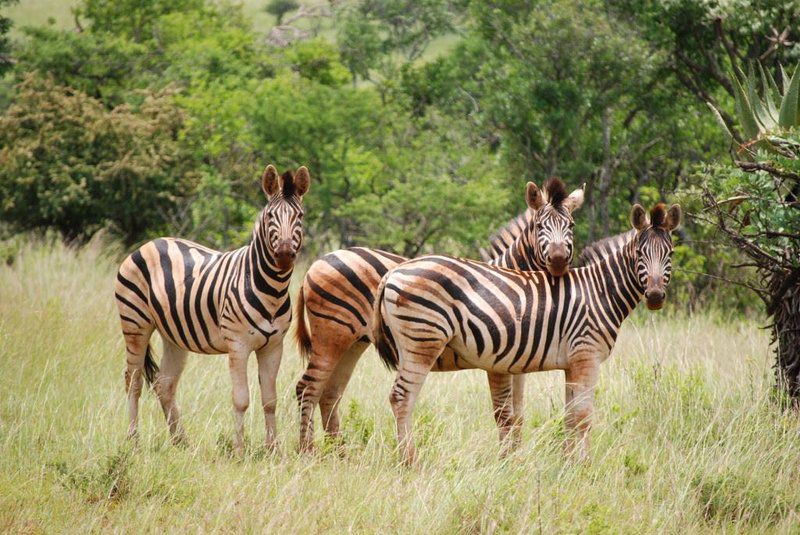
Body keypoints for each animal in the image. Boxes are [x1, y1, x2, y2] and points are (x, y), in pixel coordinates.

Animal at [115, 164, 310, 456]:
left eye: (299, 216)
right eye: (270, 216)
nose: (285, 255)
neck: (272, 289)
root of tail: (151, 243)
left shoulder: (274, 347)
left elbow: (270, 400)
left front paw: (273, 450)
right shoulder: (238, 345)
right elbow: (241, 399)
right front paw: (240, 451)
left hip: (173, 335)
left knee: (164, 383)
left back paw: (180, 442)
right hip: (135, 324)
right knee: (134, 381)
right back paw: (133, 442)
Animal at [294, 179, 580, 452]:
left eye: (571, 225)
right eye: (540, 226)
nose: (558, 260)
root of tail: (318, 261)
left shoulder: (519, 361)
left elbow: (518, 414)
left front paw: (517, 456)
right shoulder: (498, 359)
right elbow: (504, 414)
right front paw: (508, 457)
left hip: (353, 342)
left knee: (329, 393)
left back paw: (339, 453)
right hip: (332, 334)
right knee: (307, 388)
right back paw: (309, 451)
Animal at [374, 203, 680, 462]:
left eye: (670, 254)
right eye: (640, 254)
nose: (655, 297)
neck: (599, 291)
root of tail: (395, 271)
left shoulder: (571, 363)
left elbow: (569, 416)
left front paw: (568, 464)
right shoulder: (586, 355)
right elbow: (583, 416)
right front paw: (584, 467)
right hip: (422, 340)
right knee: (402, 398)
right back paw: (410, 461)